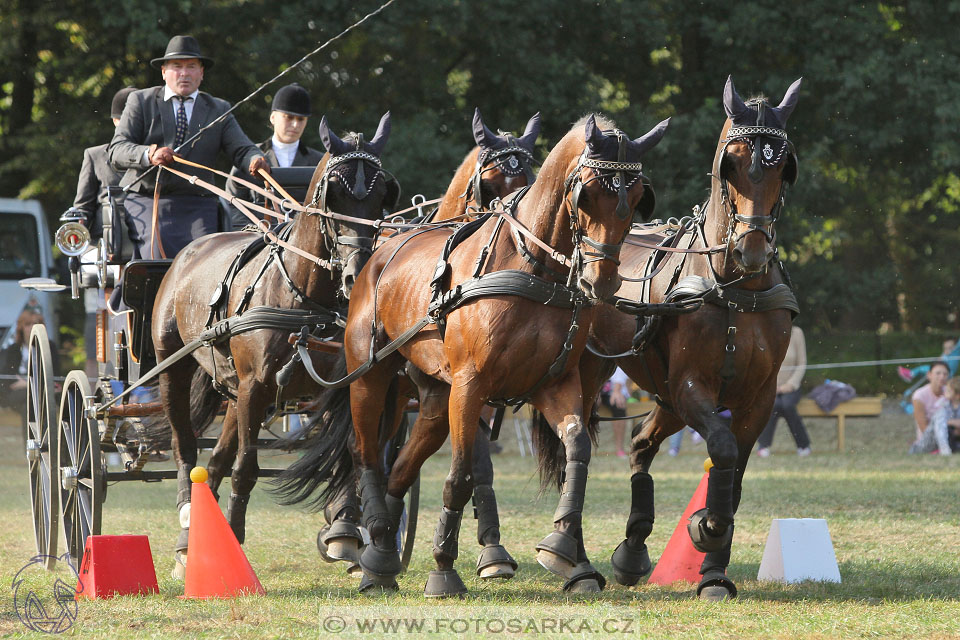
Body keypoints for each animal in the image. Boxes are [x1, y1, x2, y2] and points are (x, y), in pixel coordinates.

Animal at [151, 112, 398, 576]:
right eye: (334, 195)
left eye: (380, 199)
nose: (356, 274)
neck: (305, 300)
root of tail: (193, 248)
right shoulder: (258, 385)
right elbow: (247, 468)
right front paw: (235, 542)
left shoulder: (340, 389)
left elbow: (357, 460)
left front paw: (355, 542)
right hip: (176, 369)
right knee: (185, 447)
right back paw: (187, 524)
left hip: (236, 391)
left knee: (214, 462)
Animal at [290, 114, 668, 596]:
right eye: (587, 193)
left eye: (636, 198)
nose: (600, 281)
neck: (533, 268)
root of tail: (376, 256)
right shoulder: (472, 387)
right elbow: (462, 475)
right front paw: (445, 569)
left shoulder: (555, 382)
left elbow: (577, 450)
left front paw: (565, 550)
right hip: (372, 377)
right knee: (366, 454)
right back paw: (367, 538)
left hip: (434, 398)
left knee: (401, 467)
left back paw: (381, 556)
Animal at [576, 77, 804, 604]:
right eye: (731, 163)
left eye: (783, 166)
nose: (752, 249)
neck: (734, 288)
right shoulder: (691, 386)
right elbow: (721, 448)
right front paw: (706, 526)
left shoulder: (758, 398)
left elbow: (733, 473)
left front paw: (714, 571)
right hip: (598, 374)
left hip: (665, 397)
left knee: (641, 442)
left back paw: (632, 549)